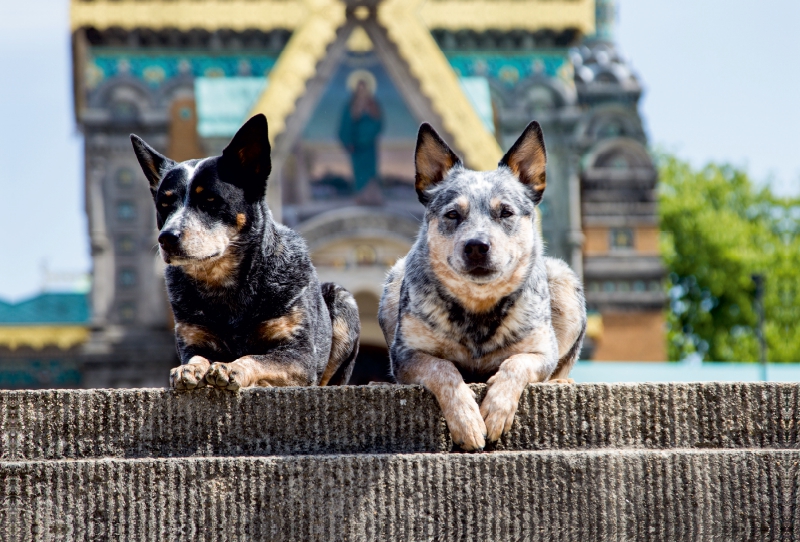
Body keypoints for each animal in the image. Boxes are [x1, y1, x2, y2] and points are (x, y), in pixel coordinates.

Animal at [131, 115, 360, 392]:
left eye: (210, 200)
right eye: (164, 205)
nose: (166, 237)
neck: (226, 286)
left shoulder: (300, 355)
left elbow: (256, 358)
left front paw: (232, 368)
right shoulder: (193, 339)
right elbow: (197, 357)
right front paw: (191, 369)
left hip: (342, 298)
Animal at [378, 121, 584, 452]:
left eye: (506, 212)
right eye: (452, 214)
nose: (477, 245)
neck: (478, 305)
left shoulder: (541, 351)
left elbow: (515, 363)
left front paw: (496, 411)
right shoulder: (407, 354)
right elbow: (444, 369)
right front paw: (467, 422)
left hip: (563, 279)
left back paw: (560, 381)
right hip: (392, 281)